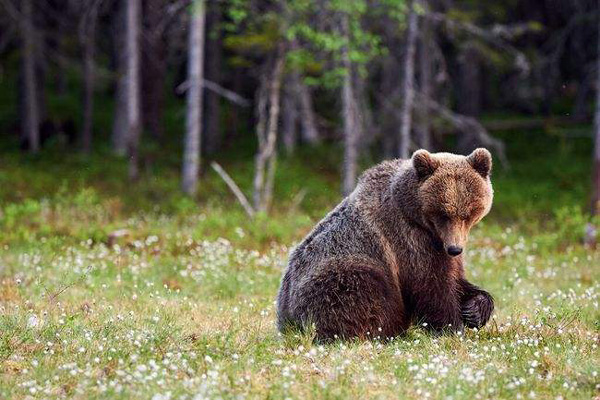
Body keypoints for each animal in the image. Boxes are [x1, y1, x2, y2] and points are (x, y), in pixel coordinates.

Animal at [274, 148, 494, 342]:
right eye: (443, 213)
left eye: (468, 214)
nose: (455, 249)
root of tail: (284, 319)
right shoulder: (409, 239)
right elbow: (431, 284)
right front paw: (453, 329)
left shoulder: (439, 243)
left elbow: (455, 278)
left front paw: (475, 309)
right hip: (340, 274)